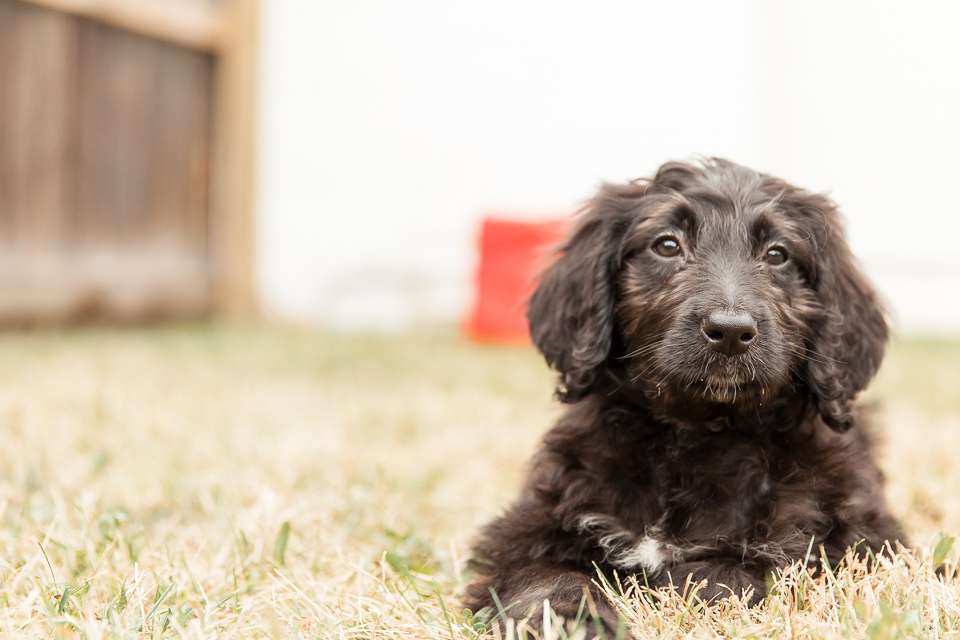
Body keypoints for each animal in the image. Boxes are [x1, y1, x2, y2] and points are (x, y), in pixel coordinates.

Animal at [468, 159, 904, 636]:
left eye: (777, 255)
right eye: (666, 245)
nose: (730, 331)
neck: (692, 436)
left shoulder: (849, 535)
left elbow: (726, 571)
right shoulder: (536, 523)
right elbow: (543, 576)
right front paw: (570, 622)